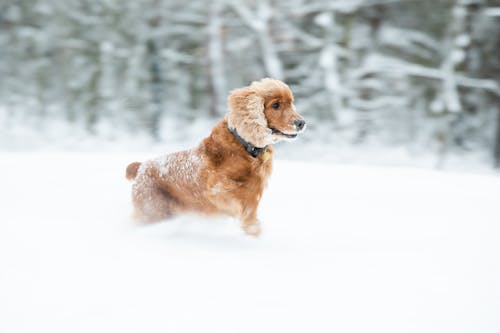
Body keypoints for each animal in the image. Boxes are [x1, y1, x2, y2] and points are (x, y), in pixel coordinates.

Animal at [126, 78, 304, 235]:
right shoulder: (217, 188)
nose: (301, 123)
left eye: (291, 103)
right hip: (151, 211)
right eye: (276, 105)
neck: (246, 146)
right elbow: (241, 197)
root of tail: (141, 167)